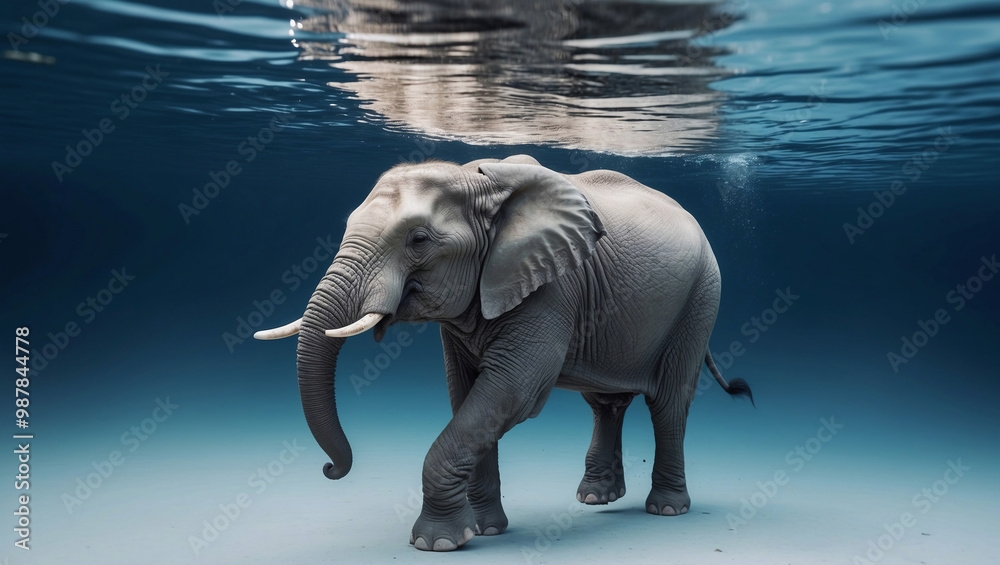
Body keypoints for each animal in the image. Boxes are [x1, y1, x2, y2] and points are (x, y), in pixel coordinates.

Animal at [255, 154, 753, 552]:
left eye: (418, 240)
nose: (329, 469)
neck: (477, 183)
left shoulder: (552, 286)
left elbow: (512, 391)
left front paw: (435, 544)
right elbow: (466, 395)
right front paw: (485, 531)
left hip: (701, 297)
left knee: (668, 402)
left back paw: (666, 510)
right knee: (605, 403)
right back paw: (596, 499)